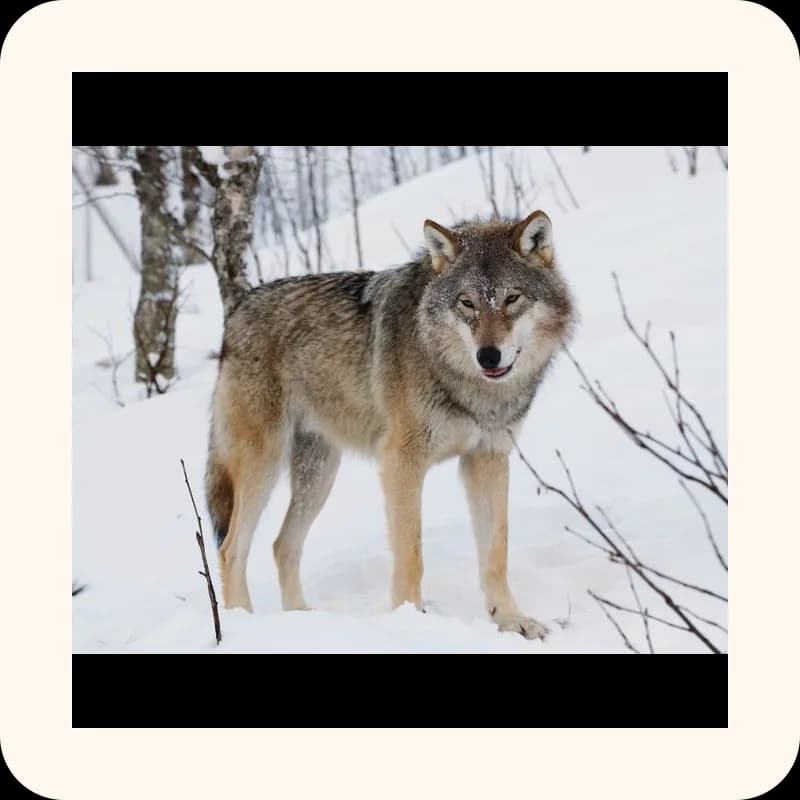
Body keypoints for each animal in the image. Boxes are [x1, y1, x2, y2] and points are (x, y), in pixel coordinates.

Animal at [205, 211, 577, 639]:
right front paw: (411, 621)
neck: (466, 384)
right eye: (466, 303)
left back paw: (302, 619)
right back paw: (241, 624)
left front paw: (511, 620)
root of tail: (237, 311)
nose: (488, 356)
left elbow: (496, 552)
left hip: (319, 475)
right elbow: (411, 554)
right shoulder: (402, 463)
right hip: (263, 465)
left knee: (283, 545)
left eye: (512, 299)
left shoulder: (487, 458)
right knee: (231, 548)